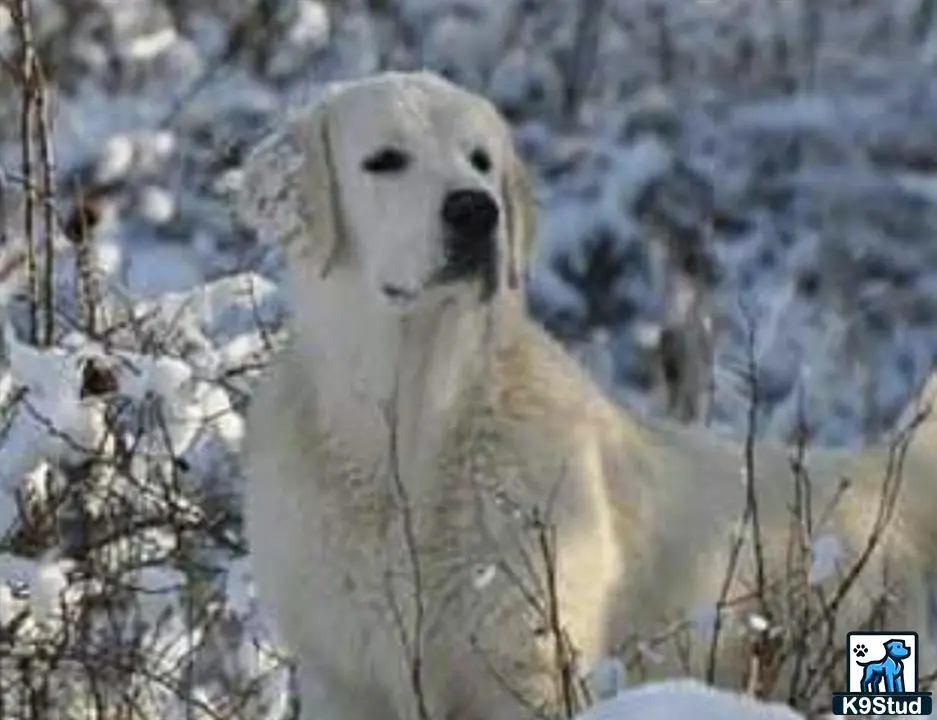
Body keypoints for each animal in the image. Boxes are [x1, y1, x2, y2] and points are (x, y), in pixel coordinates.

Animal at [238, 69, 936, 720]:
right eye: (385, 159)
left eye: (480, 159)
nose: (476, 210)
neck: (415, 427)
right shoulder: (343, 678)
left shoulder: (529, 667)